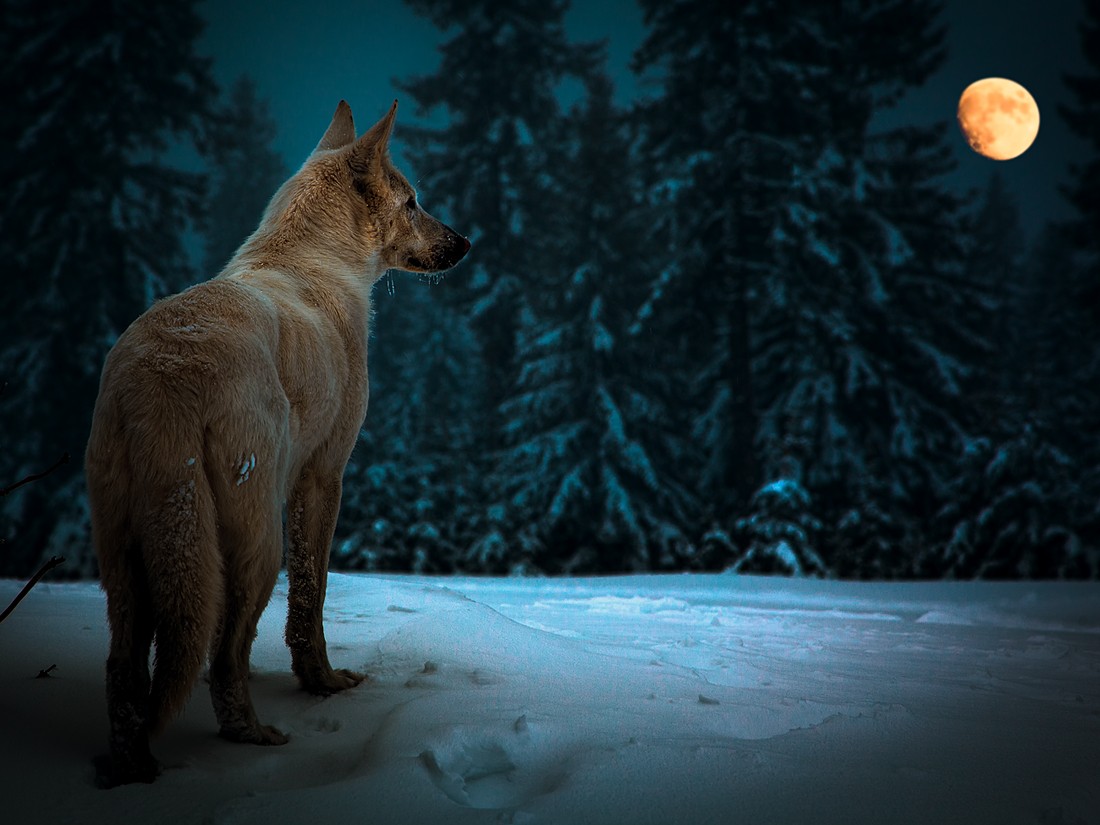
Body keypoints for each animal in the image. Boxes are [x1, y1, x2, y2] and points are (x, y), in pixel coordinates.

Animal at [85, 100, 469, 786]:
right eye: (414, 201)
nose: (466, 243)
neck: (311, 260)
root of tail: (163, 375)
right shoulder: (323, 476)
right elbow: (310, 601)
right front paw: (323, 684)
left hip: (128, 555)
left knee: (127, 672)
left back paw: (134, 766)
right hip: (253, 538)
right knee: (224, 656)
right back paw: (252, 735)